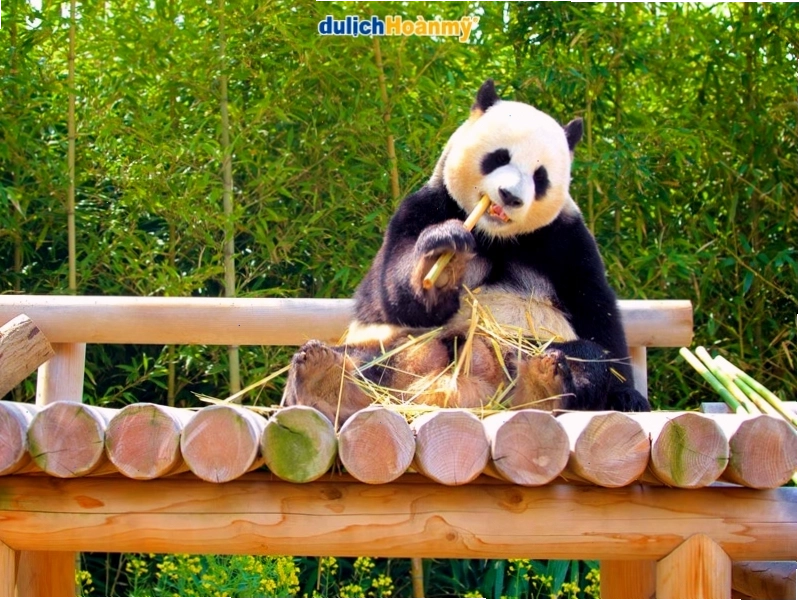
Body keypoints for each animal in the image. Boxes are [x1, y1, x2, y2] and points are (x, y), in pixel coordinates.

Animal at [282, 79, 649, 426]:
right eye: (499, 158)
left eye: (540, 176)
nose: (509, 196)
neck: (492, 236)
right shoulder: (424, 208)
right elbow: (387, 297)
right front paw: (444, 266)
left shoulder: (565, 239)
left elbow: (596, 312)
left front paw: (628, 396)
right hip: (399, 349)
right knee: (363, 359)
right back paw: (323, 380)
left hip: (522, 346)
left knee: (584, 356)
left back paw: (543, 384)